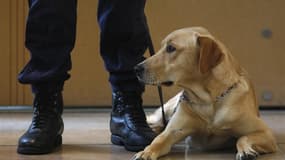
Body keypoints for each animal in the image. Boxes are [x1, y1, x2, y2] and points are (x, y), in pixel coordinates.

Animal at [133, 27, 276, 160]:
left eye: (171, 48)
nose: (136, 68)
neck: (208, 100)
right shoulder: (172, 131)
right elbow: (157, 141)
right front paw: (146, 152)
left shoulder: (265, 133)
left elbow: (243, 138)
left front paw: (245, 151)